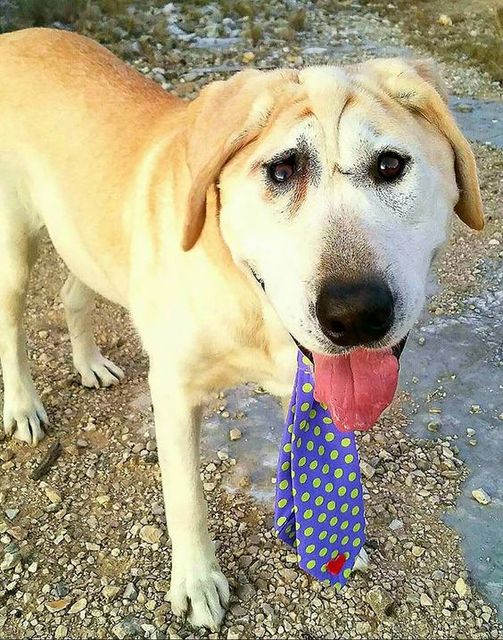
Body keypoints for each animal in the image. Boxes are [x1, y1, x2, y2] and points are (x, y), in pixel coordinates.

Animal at [0, 27, 484, 628]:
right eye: (281, 171)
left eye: (391, 165)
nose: (354, 315)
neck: (245, 294)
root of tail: (17, 36)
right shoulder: (175, 392)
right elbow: (186, 497)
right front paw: (198, 581)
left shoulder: (304, 385)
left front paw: (331, 542)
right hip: (16, 250)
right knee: (12, 326)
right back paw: (23, 407)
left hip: (84, 242)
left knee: (71, 295)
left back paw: (89, 363)